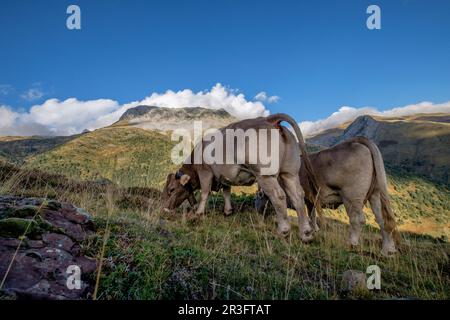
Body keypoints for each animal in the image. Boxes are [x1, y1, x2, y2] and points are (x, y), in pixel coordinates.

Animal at [163, 114, 320, 241]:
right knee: (297, 196)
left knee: (279, 196)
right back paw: (306, 233)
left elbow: (205, 193)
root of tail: (268, 119)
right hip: (290, 172)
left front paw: (198, 213)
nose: (164, 209)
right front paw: (228, 211)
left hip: (264, 173)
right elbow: (226, 191)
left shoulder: (205, 171)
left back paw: (283, 231)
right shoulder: (224, 176)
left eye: (171, 189)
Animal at [255, 136, 400, 256]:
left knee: (357, 219)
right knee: (382, 220)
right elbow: (312, 215)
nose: (257, 210)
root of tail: (356, 141)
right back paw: (387, 250)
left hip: (352, 195)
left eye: (257, 197)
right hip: (376, 193)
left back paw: (351, 243)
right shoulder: (311, 200)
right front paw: (314, 229)